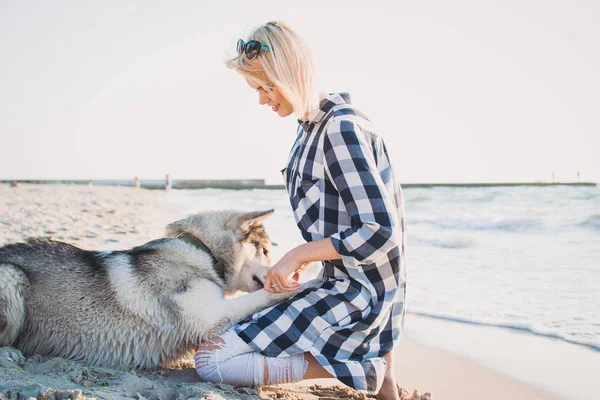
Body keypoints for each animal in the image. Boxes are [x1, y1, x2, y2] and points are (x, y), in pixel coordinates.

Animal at [0, 209, 296, 368]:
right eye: (266, 251)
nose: (290, 270)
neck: (202, 251)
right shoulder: (211, 319)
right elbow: (265, 295)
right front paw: (304, 283)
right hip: (11, 277)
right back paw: (9, 353)